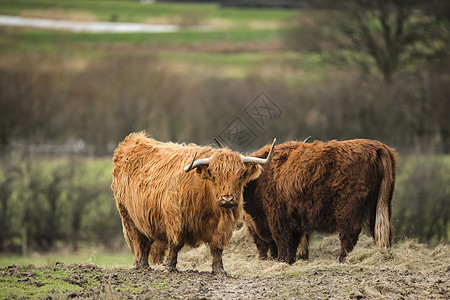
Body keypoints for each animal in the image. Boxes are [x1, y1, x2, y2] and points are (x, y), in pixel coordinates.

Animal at [243, 138, 398, 262]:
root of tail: (377, 147)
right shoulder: (293, 220)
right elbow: (291, 244)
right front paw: (290, 261)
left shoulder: (276, 217)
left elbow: (281, 241)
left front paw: (282, 260)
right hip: (381, 205)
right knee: (384, 231)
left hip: (348, 208)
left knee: (349, 233)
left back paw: (342, 259)